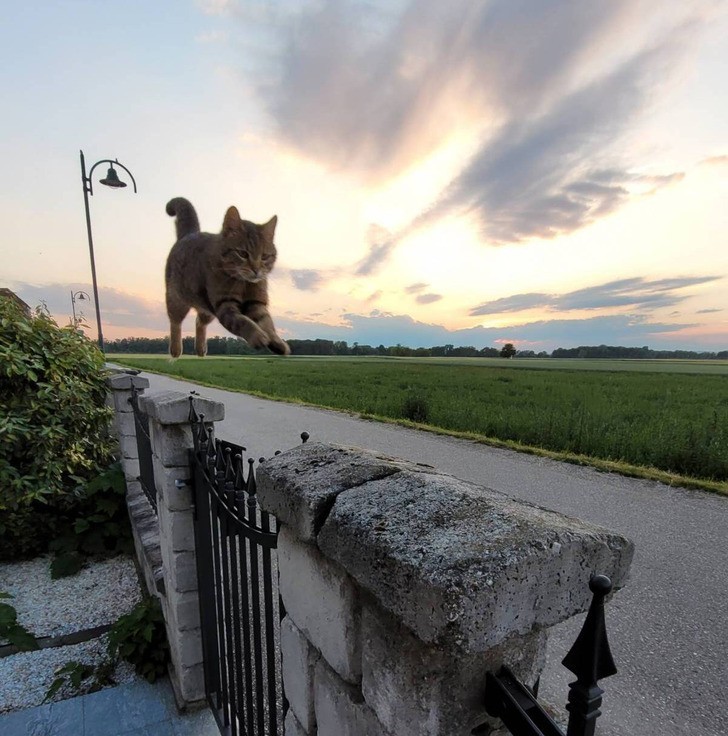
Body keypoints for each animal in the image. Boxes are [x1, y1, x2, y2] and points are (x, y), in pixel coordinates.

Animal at [165, 196, 290, 356]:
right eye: (243, 253)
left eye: (264, 256)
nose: (256, 270)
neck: (244, 283)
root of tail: (189, 234)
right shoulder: (224, 305)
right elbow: (243, 321)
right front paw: (257, 336)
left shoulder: (256, 304)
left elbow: (267, 323)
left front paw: (276, 341)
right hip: (177, 300)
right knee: (175, 322)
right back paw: (175, 349)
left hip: (207, 308)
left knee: (199, 321)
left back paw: (201, 348)